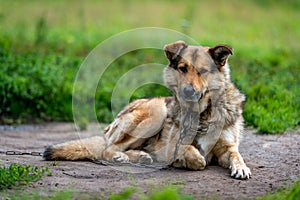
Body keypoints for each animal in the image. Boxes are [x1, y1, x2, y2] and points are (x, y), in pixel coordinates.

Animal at [44, 40, 251, 180]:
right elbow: (193, 154)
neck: (202, 113)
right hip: (156, 113)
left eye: (202, 71)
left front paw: (241, 168)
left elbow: (236, 155)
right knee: (108, 149)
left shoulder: (227, 147)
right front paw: (187, 161)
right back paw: (122, 156)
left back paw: (141, 156)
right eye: (182, 68)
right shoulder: (170, 145)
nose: (188, 91)